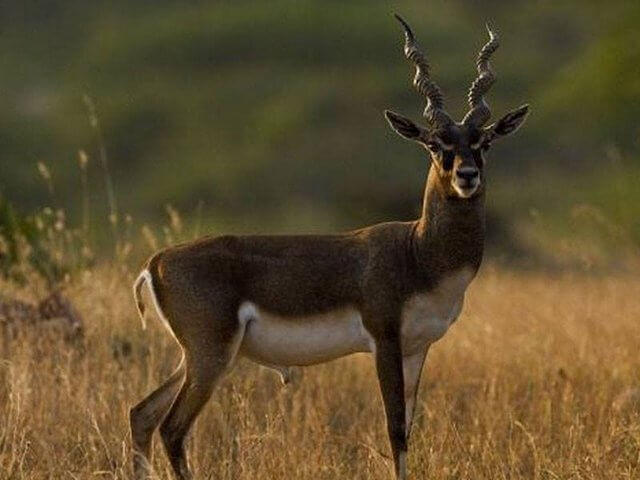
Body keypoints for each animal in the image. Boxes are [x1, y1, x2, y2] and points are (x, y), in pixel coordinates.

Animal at [130, 15, 528, 480]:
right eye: (434, 143)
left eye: (483, 142)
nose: (466, 175)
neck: (418, 253)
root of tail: (157, 260)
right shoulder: (385, 339)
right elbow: (395, 429)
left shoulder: (418, 347)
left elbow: (409, 428)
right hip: (210, 356)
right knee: (172, 428)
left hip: (193, 357)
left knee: (142, 414)